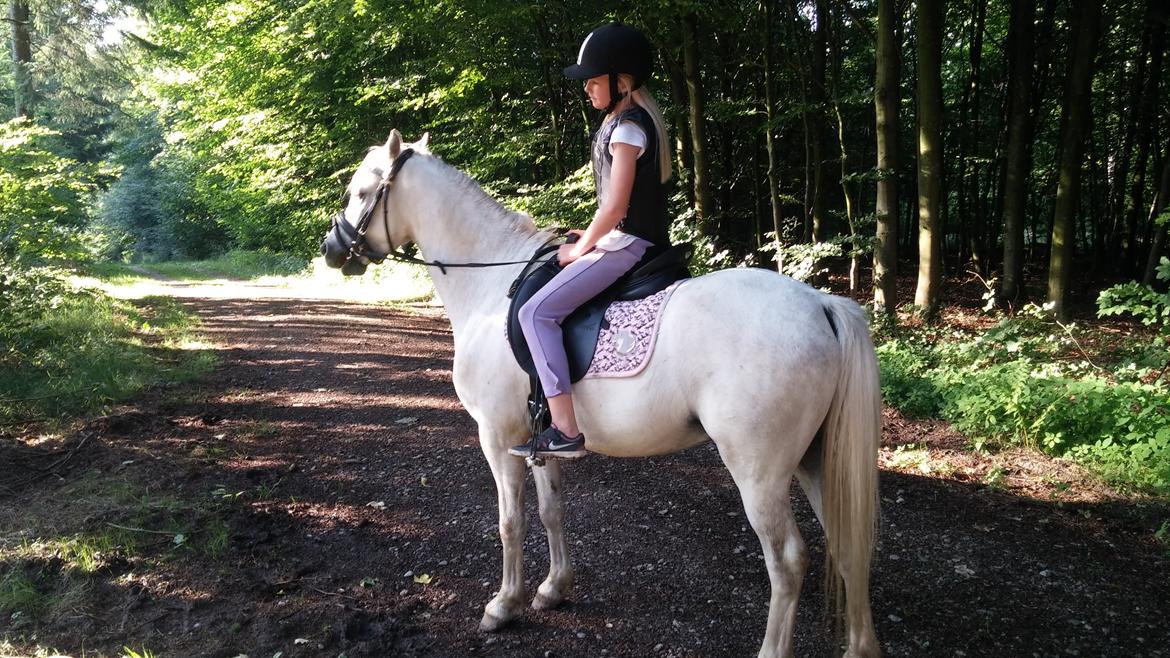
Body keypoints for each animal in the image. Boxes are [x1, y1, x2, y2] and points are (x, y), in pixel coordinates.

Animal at [320, 130, 882, 658]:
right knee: (848, 542)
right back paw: (861, 646)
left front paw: (503, 605)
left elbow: (509, 521)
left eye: (360, 191)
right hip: (814, 458)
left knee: (787, 560)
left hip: (759, 471)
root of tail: (820, 304)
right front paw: (552, 589)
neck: (492, 286)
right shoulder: (537, 441)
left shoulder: (497, 437)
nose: (331, 249)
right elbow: (552, 511)